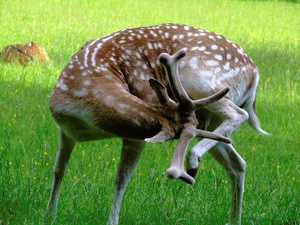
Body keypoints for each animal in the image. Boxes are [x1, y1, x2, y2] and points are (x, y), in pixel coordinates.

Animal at [47, 23, 268, 225]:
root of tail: (255, 75)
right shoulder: (65, 131)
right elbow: (59, 169)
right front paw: (50, 214)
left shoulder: (135, 134)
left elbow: (121, 179)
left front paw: (112, 221)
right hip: (212, 123)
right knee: (238, 164)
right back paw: (233, 218)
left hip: (199, 81)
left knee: (239, 114)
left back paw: (193, 158)